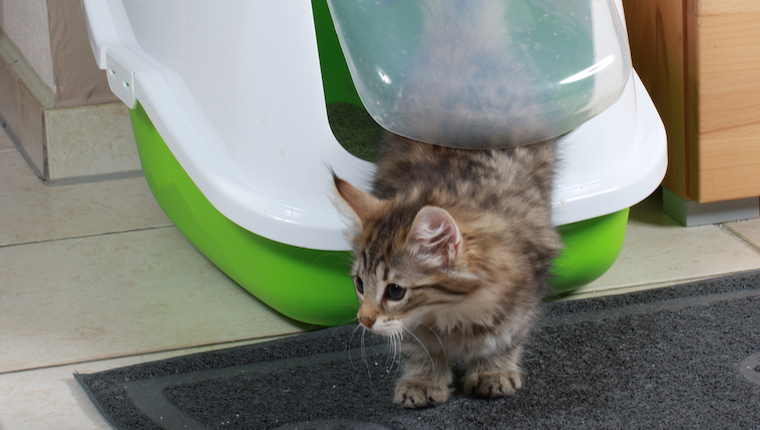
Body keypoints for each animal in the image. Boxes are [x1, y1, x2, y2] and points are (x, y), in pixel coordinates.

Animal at [332, 0, 560, 410]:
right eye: (359, 283)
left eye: (395, 291)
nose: (364, 319)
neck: (450, 310)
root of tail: (463, 50)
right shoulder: (415, 329)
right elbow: (418, 348)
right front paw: (423, 381)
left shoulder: (525, 291)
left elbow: (505, 337)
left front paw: (492, 371)